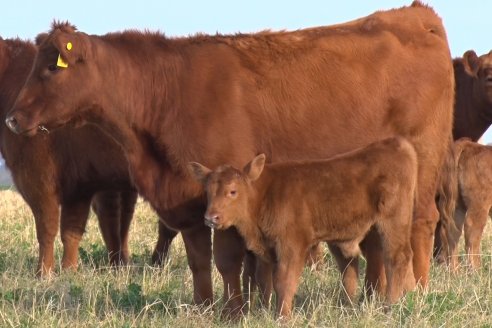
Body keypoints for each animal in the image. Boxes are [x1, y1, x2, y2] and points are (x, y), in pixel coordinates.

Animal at [190, 136, 418, 318]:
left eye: (233, 191)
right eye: (208, 191)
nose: (211, 218)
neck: (264, 194)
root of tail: (396, 143)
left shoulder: (292, 246)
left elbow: (284, 281)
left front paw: (283, 317)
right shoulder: (266, 251)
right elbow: (264, 281)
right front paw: (264, 312)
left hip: (393, 221)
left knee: (397, 257)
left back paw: (390, 306)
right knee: (356, 267)